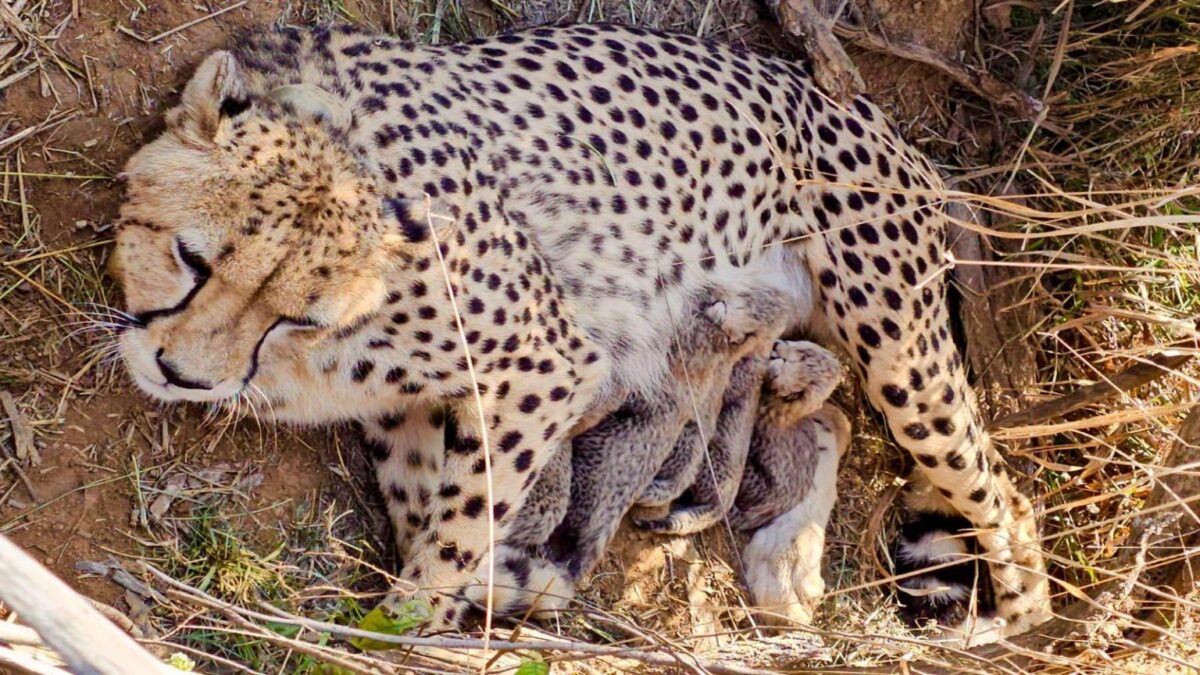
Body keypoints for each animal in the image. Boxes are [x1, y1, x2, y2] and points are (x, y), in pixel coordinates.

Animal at [110, 21, 1052, 640]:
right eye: (190, 258)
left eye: (295, 313)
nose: (184, 374)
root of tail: (863, 109)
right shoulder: (410, 404)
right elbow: (424, 505)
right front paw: (495, 585)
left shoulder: (547, 362)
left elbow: (461, 521)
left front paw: (405, 623)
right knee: (829, 415)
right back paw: (785, 564)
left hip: (902, 350)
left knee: (1008, 503)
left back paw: (998, 624)